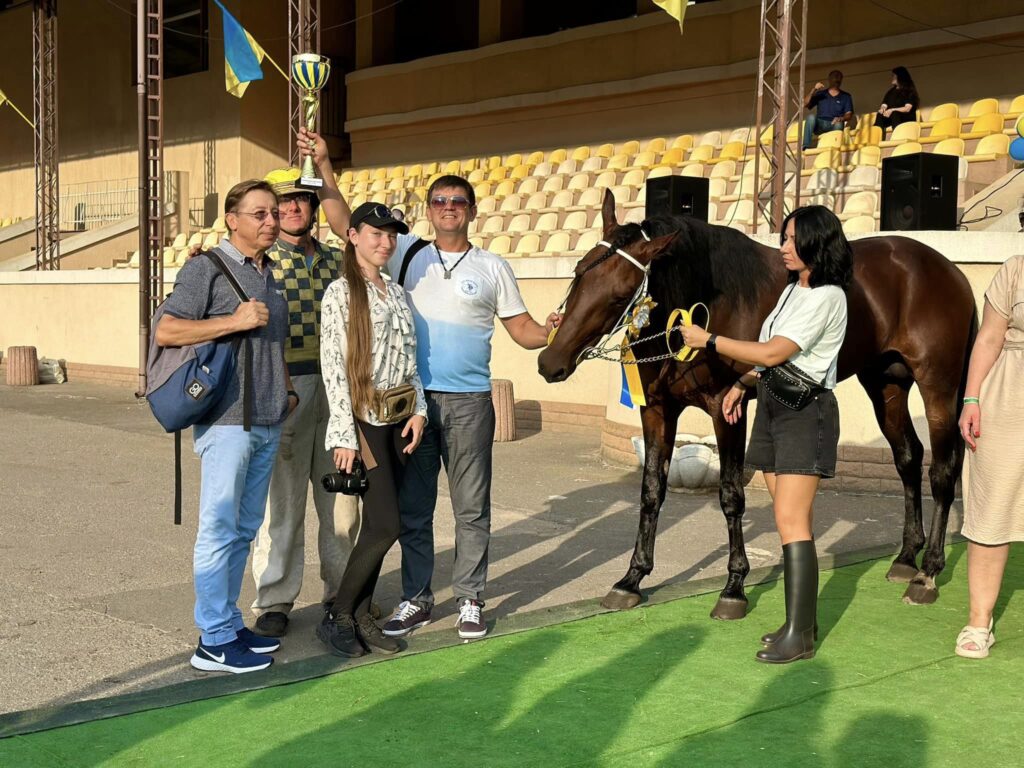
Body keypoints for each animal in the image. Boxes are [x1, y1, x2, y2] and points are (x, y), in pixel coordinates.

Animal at [536, 191, 974, 618]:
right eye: (578, 273)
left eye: (619, 296)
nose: (549, 362)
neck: (707, 301)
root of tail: (948, 271)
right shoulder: (658, 410)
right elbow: (651, 492)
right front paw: (632, 579)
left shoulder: (725, 409)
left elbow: (731, 494)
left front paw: (734, 587)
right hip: (886, 383)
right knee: (908, 457)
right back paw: (905, 557)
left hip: (938, 386)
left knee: (942, 470)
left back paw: (928, 571)